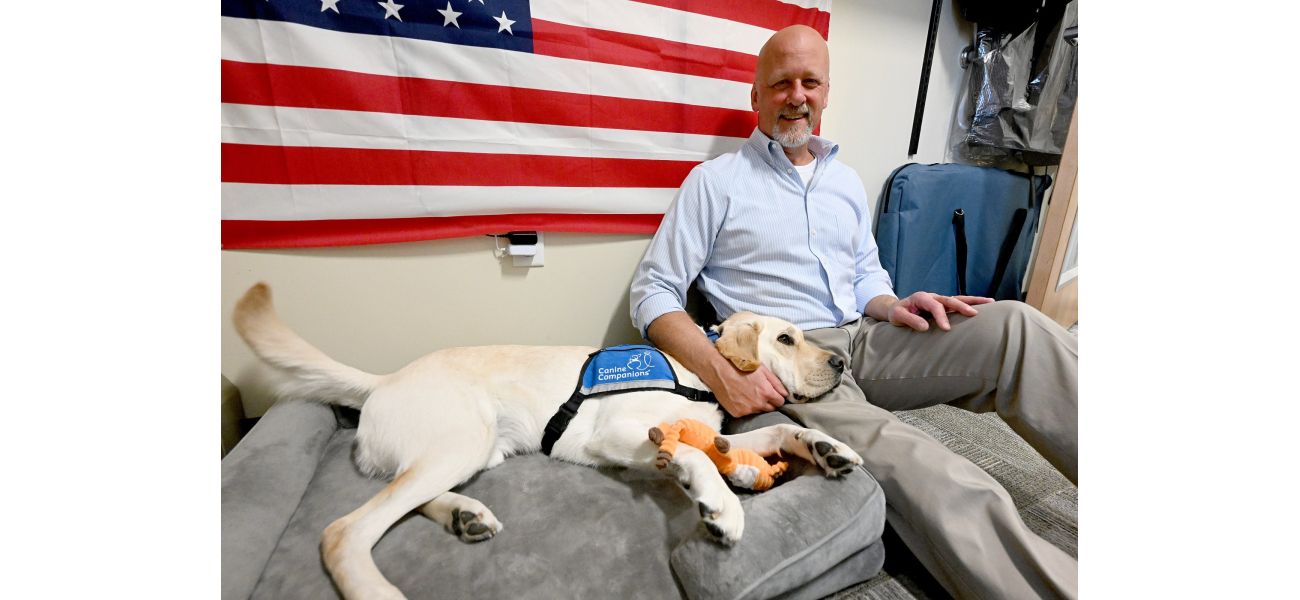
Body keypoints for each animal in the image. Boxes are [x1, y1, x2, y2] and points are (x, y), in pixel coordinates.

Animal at [233, 283, 863, 597]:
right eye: (786, 339)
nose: (840, 362)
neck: (696, 372)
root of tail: (383, 380)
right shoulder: (619, 433)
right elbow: (690, 451)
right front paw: (721, 504)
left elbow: (775, 430)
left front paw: (825, 447)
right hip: (462, 437)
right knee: (346, 530)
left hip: (468, 450)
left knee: (404, 496)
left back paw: (464, 514)